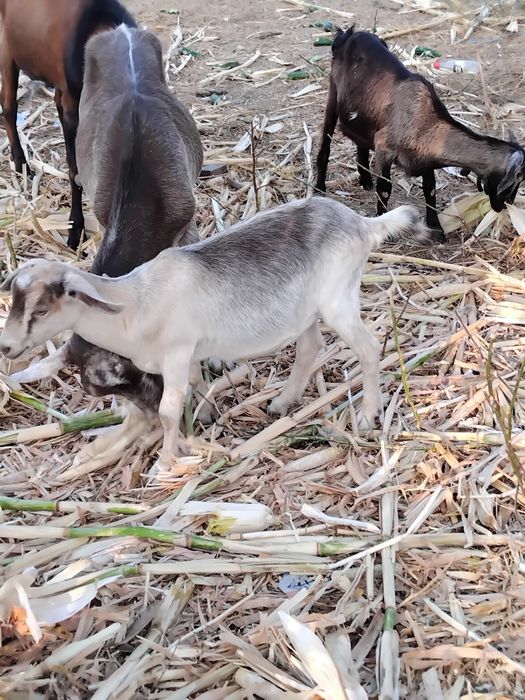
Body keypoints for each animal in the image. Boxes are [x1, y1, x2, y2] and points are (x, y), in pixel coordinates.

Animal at [0, 0, 136, 250]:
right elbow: (75, 171)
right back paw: (21, 164)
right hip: (7, 51)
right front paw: (75, 230)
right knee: (9, 107)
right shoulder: (75, 108)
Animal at [0, 198, 430, 468]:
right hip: (305, 311)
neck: (134, 303)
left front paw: (166, 462)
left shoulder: (176, 352)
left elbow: (168, 411)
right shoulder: (185, 355)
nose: (6, 347)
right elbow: (193, 387)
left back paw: (368, 414)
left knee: (369, 348)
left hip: (338, 299)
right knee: (310, 346)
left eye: (41, 308)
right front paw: (204, 416)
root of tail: (362, 223)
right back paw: (282, 403)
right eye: (14, 301)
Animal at [315, 27, 525, 241]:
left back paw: (365, 180)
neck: (425, 119)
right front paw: (383, 222)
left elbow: (430, 190)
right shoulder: (384, 147)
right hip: (333, 95)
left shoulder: (425, 160)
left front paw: (437, 229)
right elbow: (385, 189)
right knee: (325, 144)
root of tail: (349, 33)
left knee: (361, 142)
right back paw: (320, 189)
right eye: (514, 181)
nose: (504, 206)